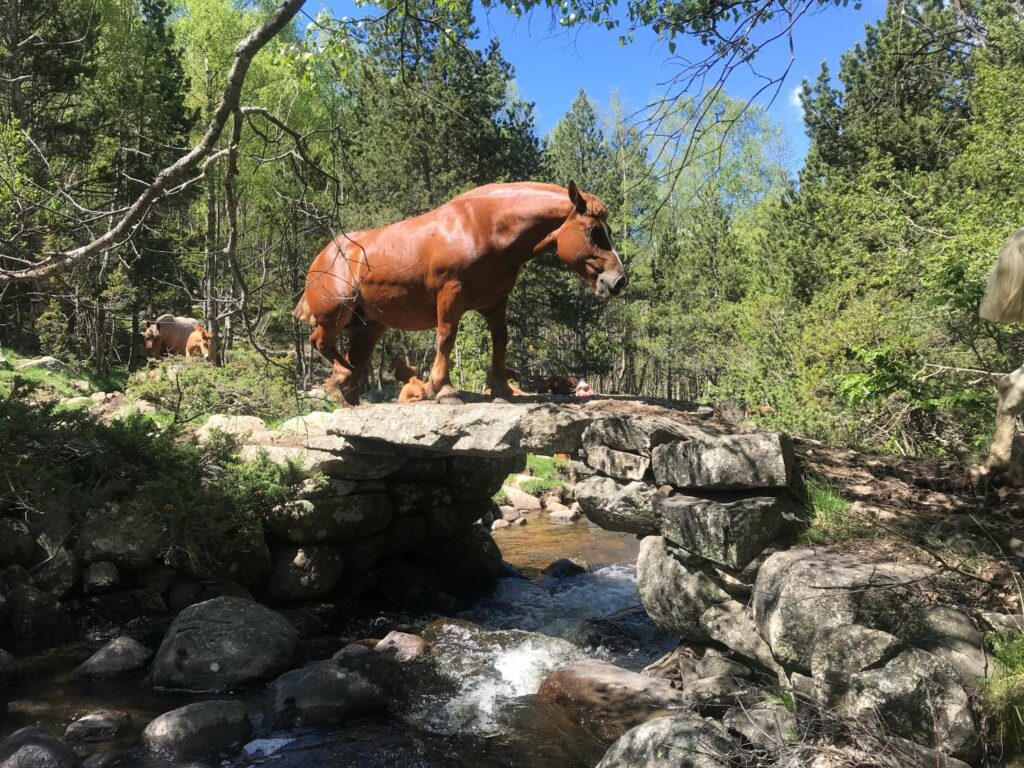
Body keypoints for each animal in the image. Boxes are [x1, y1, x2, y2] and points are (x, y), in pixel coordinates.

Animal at [292, 183, 626, 405]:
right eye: (594, 232)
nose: (618, 280)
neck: (484, 227)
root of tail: (322, 256)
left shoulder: (495, 302)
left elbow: (500, 340)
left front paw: (502, 388)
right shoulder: (450, 295)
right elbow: (446, 337)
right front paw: (441, 388)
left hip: (370, 326)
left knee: (350, 359)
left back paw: (346, 390)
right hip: (337, 314)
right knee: (319, 342)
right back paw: (343, 375)